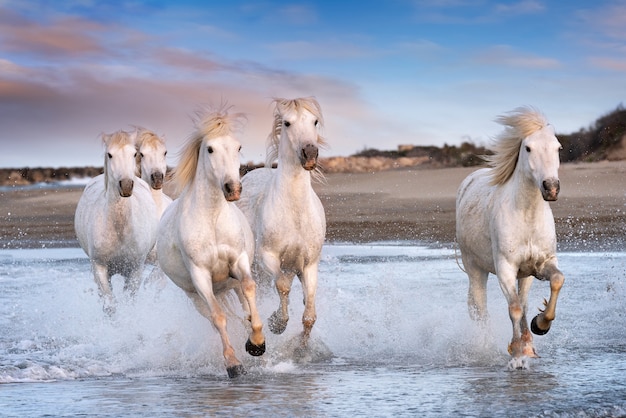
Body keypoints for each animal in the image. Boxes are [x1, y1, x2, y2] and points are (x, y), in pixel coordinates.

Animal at [74, 130, 157, 314]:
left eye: (134, 154)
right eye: (110, 154)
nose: (126, 185)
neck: (119, 229)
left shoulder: (135, 269)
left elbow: (129, 302)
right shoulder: (99, 268)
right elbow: (110, 307)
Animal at [157, 106, 264, 378]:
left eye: (238, 147)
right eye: (210, 149)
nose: (233, 189)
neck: (212, 217)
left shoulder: (239, 261)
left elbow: (250, 288)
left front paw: (257, 343)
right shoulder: (200, 275)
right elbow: (218, 318)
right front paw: (234, 364)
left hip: (230, 285)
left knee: (244, 306)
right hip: (197, 296)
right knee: (217, 317)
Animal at [236, 96, 326, 348]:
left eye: (315, 121)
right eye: (287, 123)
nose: (310, 154)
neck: (295, 213)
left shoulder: (309, 264)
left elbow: (309, 314)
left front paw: (301, 348)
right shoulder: (268, 257)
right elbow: (283, 286)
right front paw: (277, 323)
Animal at [454, 108, 564, 370]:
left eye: (558, 147)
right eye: (528, 148)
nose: (551, 188)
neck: (527, 215)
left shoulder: (542, 264)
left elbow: (556, 281)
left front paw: (540, 325)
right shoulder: (505, 268)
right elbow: (513, 308)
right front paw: (516, 354)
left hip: (525, 275)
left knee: (522, 302)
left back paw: (529, 343)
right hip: (475, 269)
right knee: (480, 309)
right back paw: (485, 349)